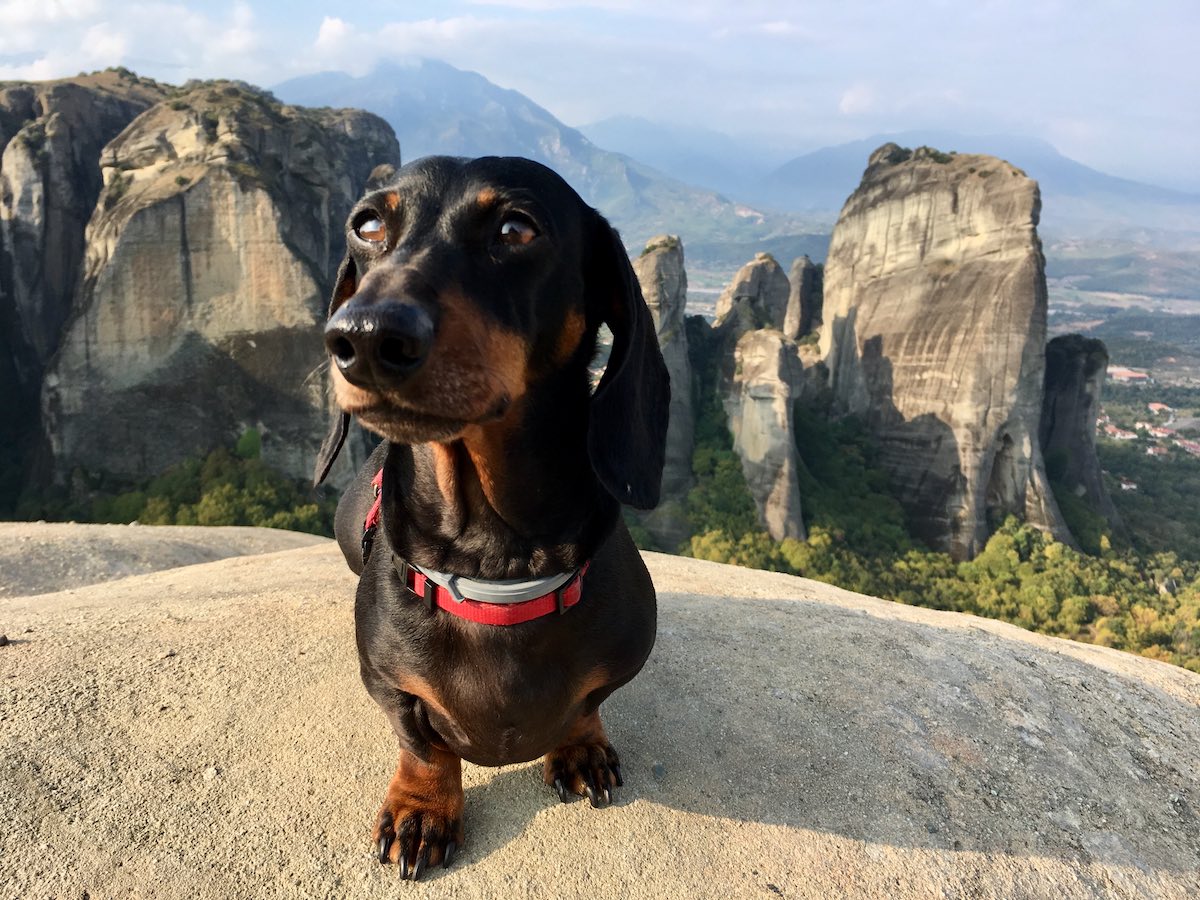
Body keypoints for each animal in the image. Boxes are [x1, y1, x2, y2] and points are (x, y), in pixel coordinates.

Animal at [314, 154, 672, 883]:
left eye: (516, 228)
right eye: (367, 225)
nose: (364, 337)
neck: (494, 568)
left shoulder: (619, 662)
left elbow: (588, 703)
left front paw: (580, 746)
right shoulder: (389, 685)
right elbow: (423, 746)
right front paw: (423, 810)